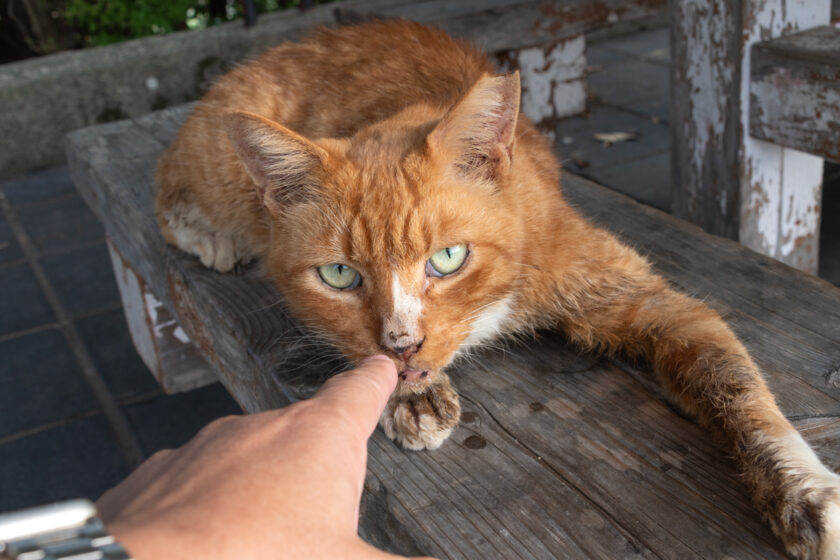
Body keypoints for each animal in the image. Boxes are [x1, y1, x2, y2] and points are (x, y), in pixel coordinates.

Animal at [156, 19, 840, 556]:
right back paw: (214, 237)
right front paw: (411, 392)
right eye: (340, 275)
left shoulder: (647, 297)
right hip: (220, 169)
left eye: (448, 258)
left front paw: (803, 490)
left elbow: (734, 381)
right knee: (167, 193)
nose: (401, 344)